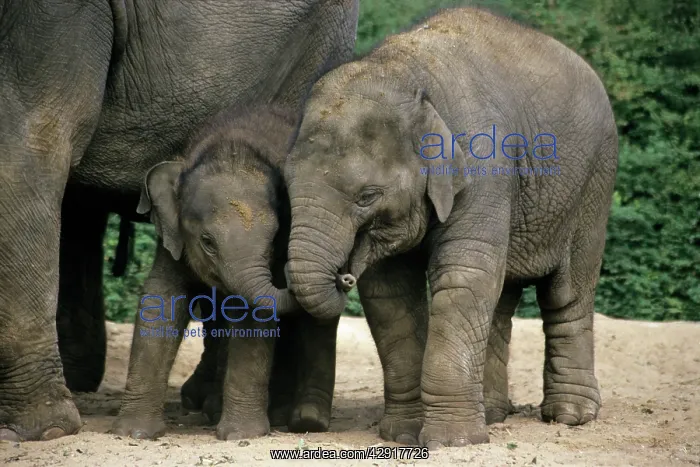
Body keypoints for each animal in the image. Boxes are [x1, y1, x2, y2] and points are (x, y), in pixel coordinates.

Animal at [113, 104, 339, 440]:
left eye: (274, 239)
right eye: (207, 242)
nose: (288, 269)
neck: (230, 148)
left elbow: (253, 316)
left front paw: (240, 435)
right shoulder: (172, 238)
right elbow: (162, 297)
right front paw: (134, 433)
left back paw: (299, 419)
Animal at [283, 7, 618, 449]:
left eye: (367, 196)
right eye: (286, 185)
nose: (344, 275)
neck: (407, 75)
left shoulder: (485, 167)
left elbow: (463, 275)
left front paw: (453, 441)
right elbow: (390, 294)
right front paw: (404, 435)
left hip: (595, 183)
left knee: (567, 293)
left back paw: (570, 416)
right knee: (501, 297)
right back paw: (493, 414)